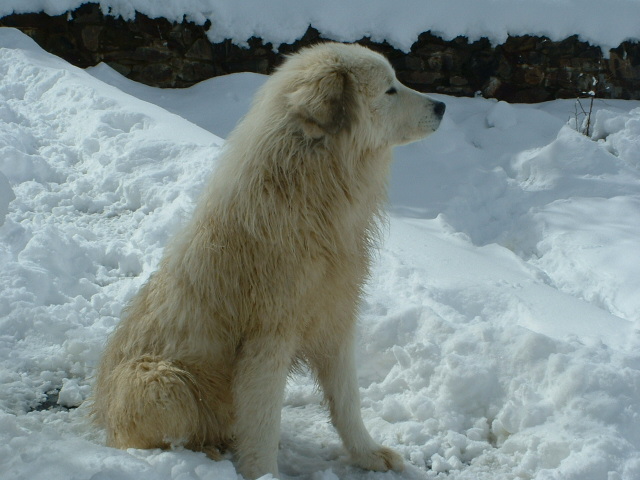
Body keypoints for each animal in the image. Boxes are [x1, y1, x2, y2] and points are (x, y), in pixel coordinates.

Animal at [92, 43, 444, 478]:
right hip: (161, 382)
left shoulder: (335, 323)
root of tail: (100, 410)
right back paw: (202, 454)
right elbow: (262, 424)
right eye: (390, 90)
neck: (311, 196)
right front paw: (264, 472)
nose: (443, 105)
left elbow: (347, 403)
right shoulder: (268, 339)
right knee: (157, 436)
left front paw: (368, 454)